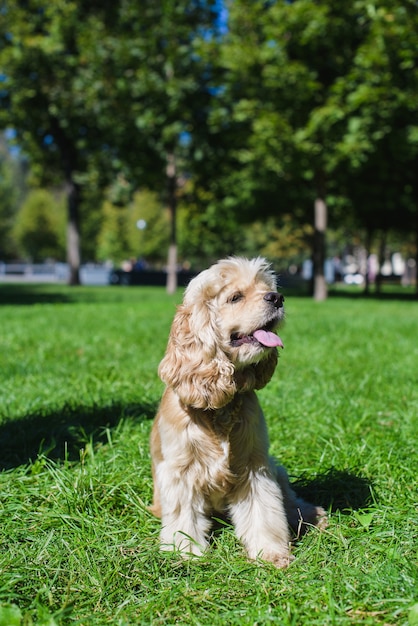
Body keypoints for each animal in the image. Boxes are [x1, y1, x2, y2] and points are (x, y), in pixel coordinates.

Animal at [150, 256, 326, 568]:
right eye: (235, 297)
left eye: (267, 288)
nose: (277, 298)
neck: (220, 406)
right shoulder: (181, 470)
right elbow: (184, 515)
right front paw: (186, 551)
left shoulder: (255, 465)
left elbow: (265, 511)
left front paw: (270, 552)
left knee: (289, 498)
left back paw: (311, 515)